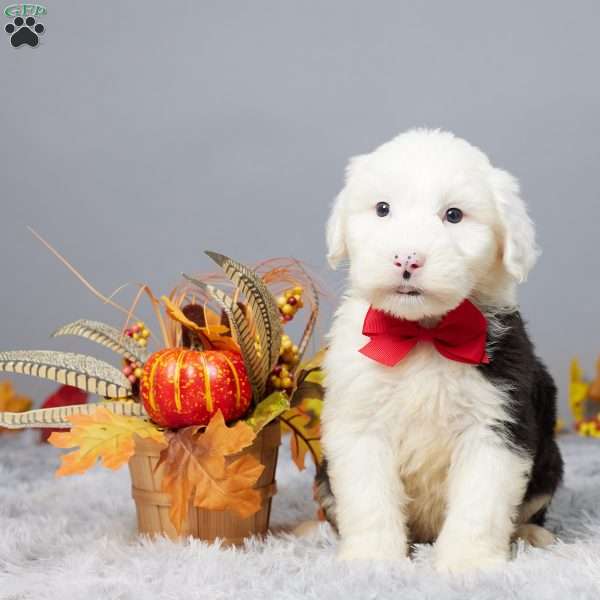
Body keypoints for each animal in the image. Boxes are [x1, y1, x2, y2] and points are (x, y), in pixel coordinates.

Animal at [316, 130, 564, 572]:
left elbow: (481, 504)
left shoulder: (495, 423)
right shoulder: (359, 421)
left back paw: (532, 536)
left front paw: (468, 562)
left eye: (454, 215)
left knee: (530, 507)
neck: (423, 334)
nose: (407, 258)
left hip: (549, 457)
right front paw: (372, 559)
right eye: (383, 209)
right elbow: (368, 498)